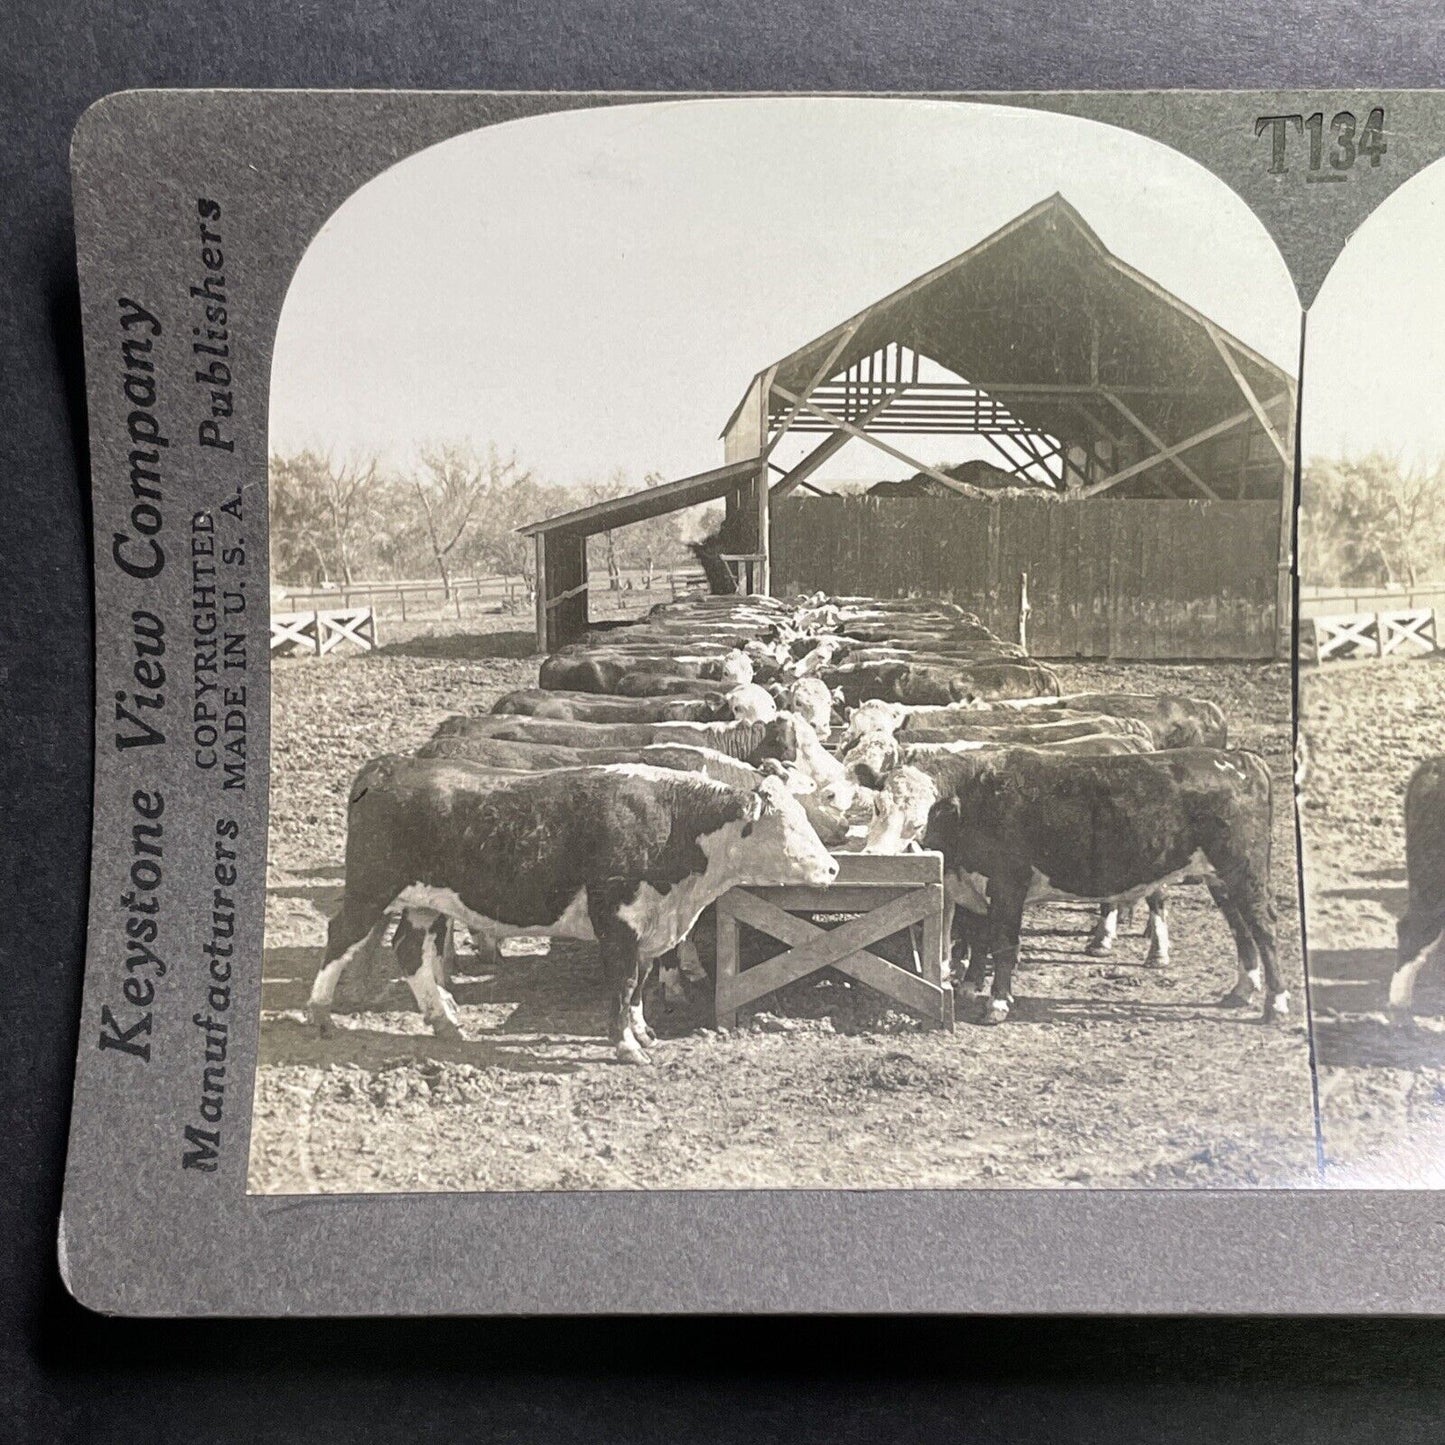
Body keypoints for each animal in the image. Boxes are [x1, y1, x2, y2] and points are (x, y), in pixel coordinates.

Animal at [310, 768, 843, 1063]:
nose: (834, 867)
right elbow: (623, 983)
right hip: (370, 889)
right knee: (340, 937)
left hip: (424, 902)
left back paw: (444, 1022)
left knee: (408, 951)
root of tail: (388, 771)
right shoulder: (618, 922)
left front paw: (643, 1032)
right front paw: (626, 1047)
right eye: (789, 826)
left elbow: (640, 983)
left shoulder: (648, 928)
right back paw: (320, 1015)